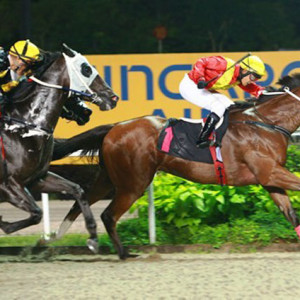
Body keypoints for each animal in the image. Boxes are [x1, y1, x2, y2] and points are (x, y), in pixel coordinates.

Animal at [0, 43, 119, 252]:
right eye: (86, 69)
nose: (113, 97)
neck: (25, 125)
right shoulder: (8, 184)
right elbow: (37, 213)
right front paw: (6, 226)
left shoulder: (35, 179)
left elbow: (77, 190)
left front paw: (93, 236)